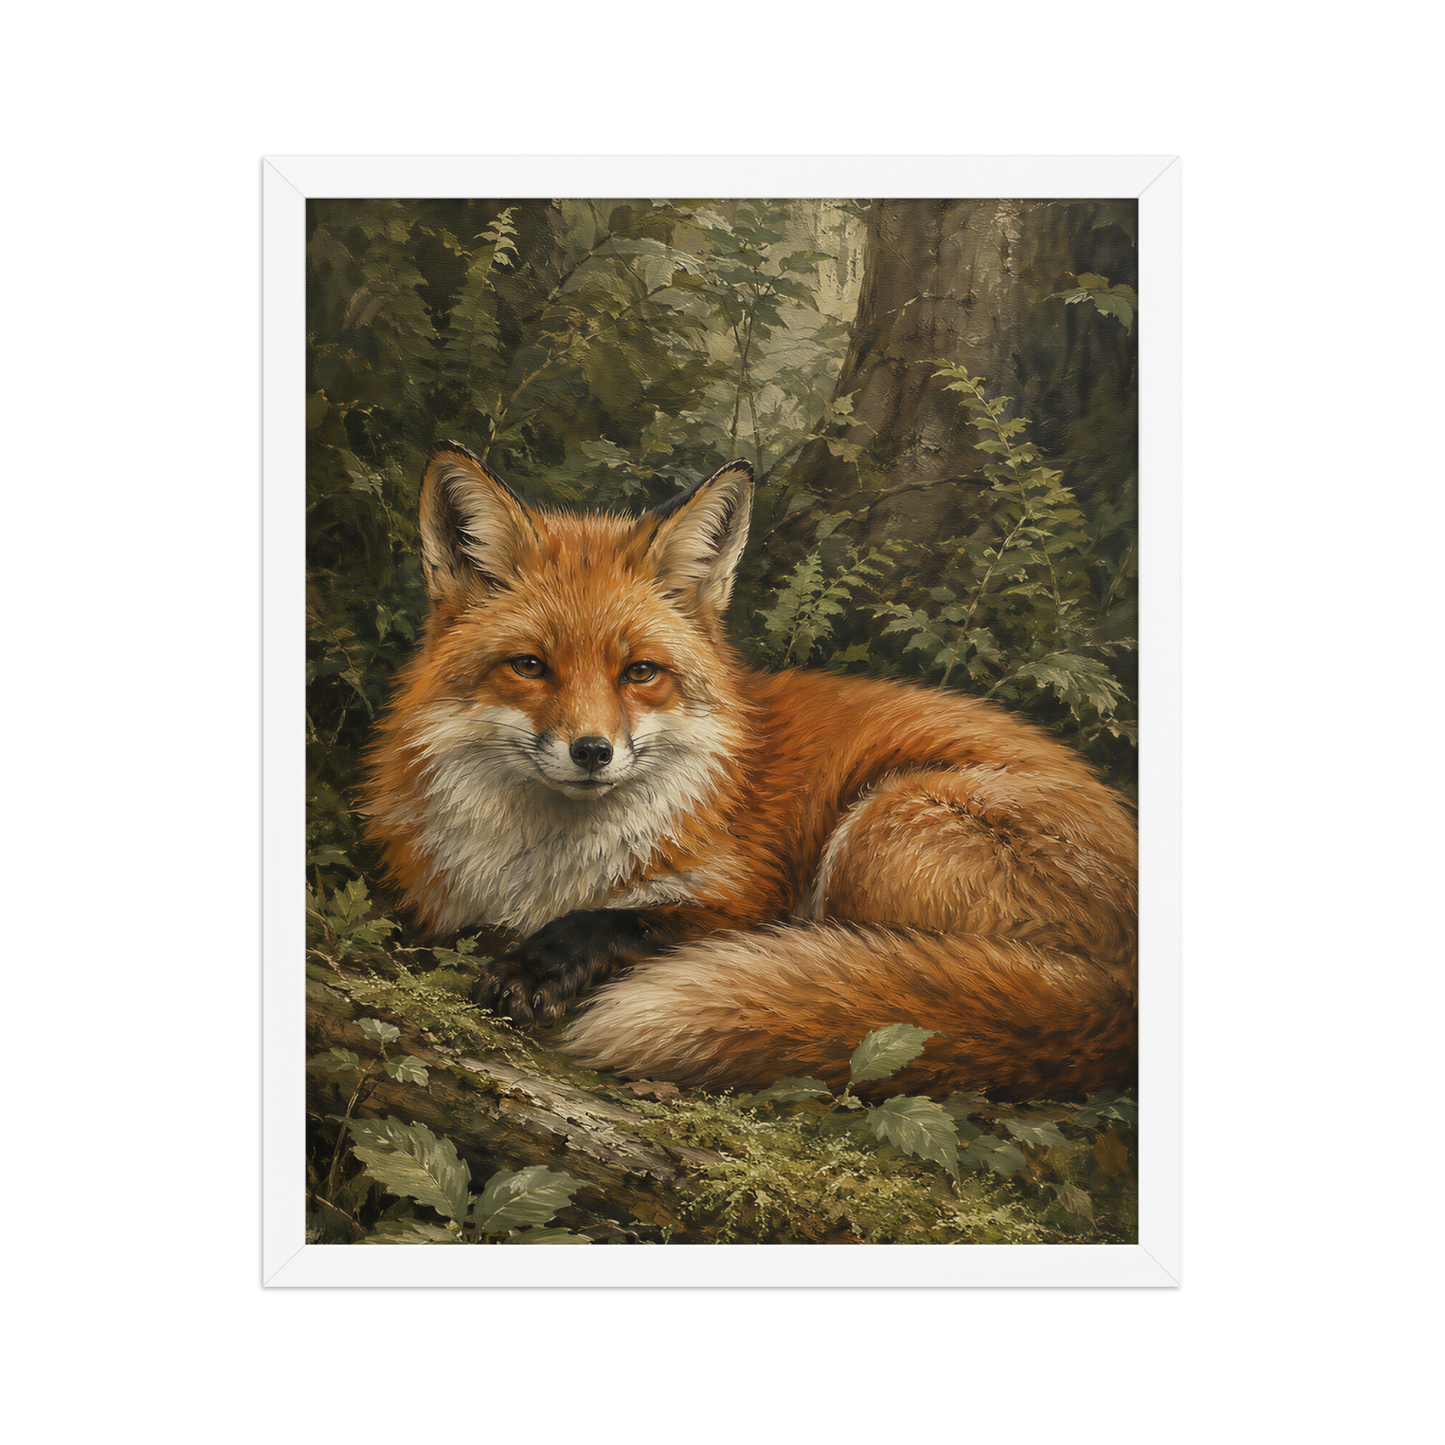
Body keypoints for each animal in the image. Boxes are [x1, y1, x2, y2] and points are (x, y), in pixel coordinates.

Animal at [362, 440, 1137, 1102]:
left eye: (640, 672)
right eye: (529, 666)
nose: (592, 751)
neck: (545, 868)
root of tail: (1121, 996)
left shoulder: (743, 902)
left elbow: (627, 922)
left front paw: (536, 965)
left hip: (878, 829)